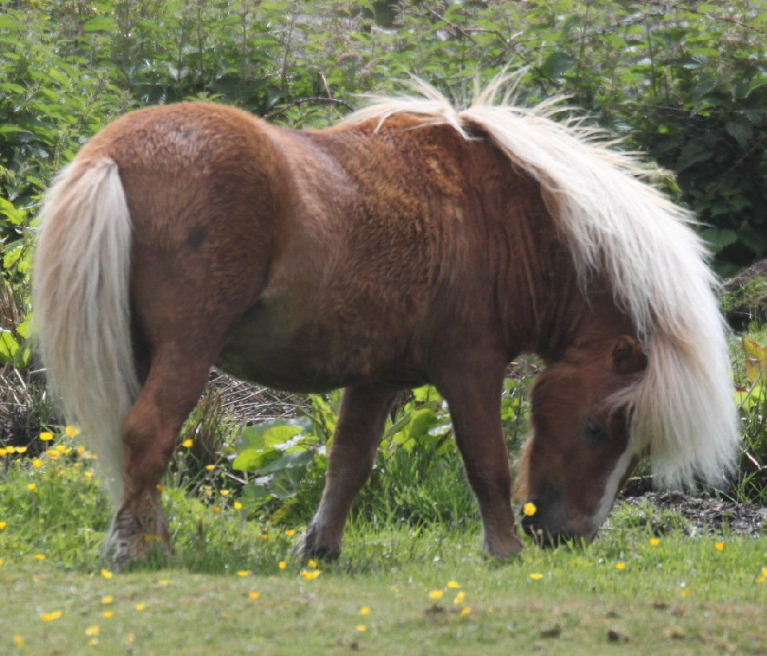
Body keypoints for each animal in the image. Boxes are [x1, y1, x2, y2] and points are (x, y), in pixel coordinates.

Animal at [33, 75, 739, 567]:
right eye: (598, 427)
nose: (570, 536)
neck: (500, 217)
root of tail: (115, 151)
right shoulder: (470, 369)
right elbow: (485, 460)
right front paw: (503, 550)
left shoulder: (374, 379)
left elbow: (348, 464)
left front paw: (320, 549)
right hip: (190, 346)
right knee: (149, 432)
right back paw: (138, 550)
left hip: (144, 349)